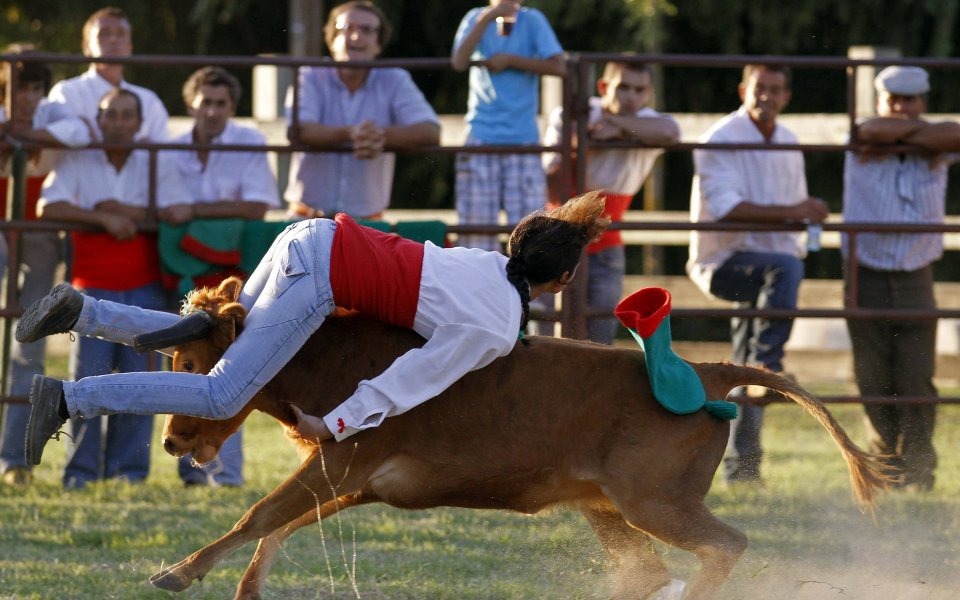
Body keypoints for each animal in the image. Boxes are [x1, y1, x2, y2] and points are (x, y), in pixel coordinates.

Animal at [150, 278, 892, 600]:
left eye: (189, 362)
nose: (171, 443)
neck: (327, 352)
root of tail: (710, 370)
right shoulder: (352, 482)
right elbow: (277, 526)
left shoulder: (347, 458)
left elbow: (260, 514)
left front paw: (176, 571)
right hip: (605, 506)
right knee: (649, 571)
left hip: (655, 503)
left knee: (724, 545)